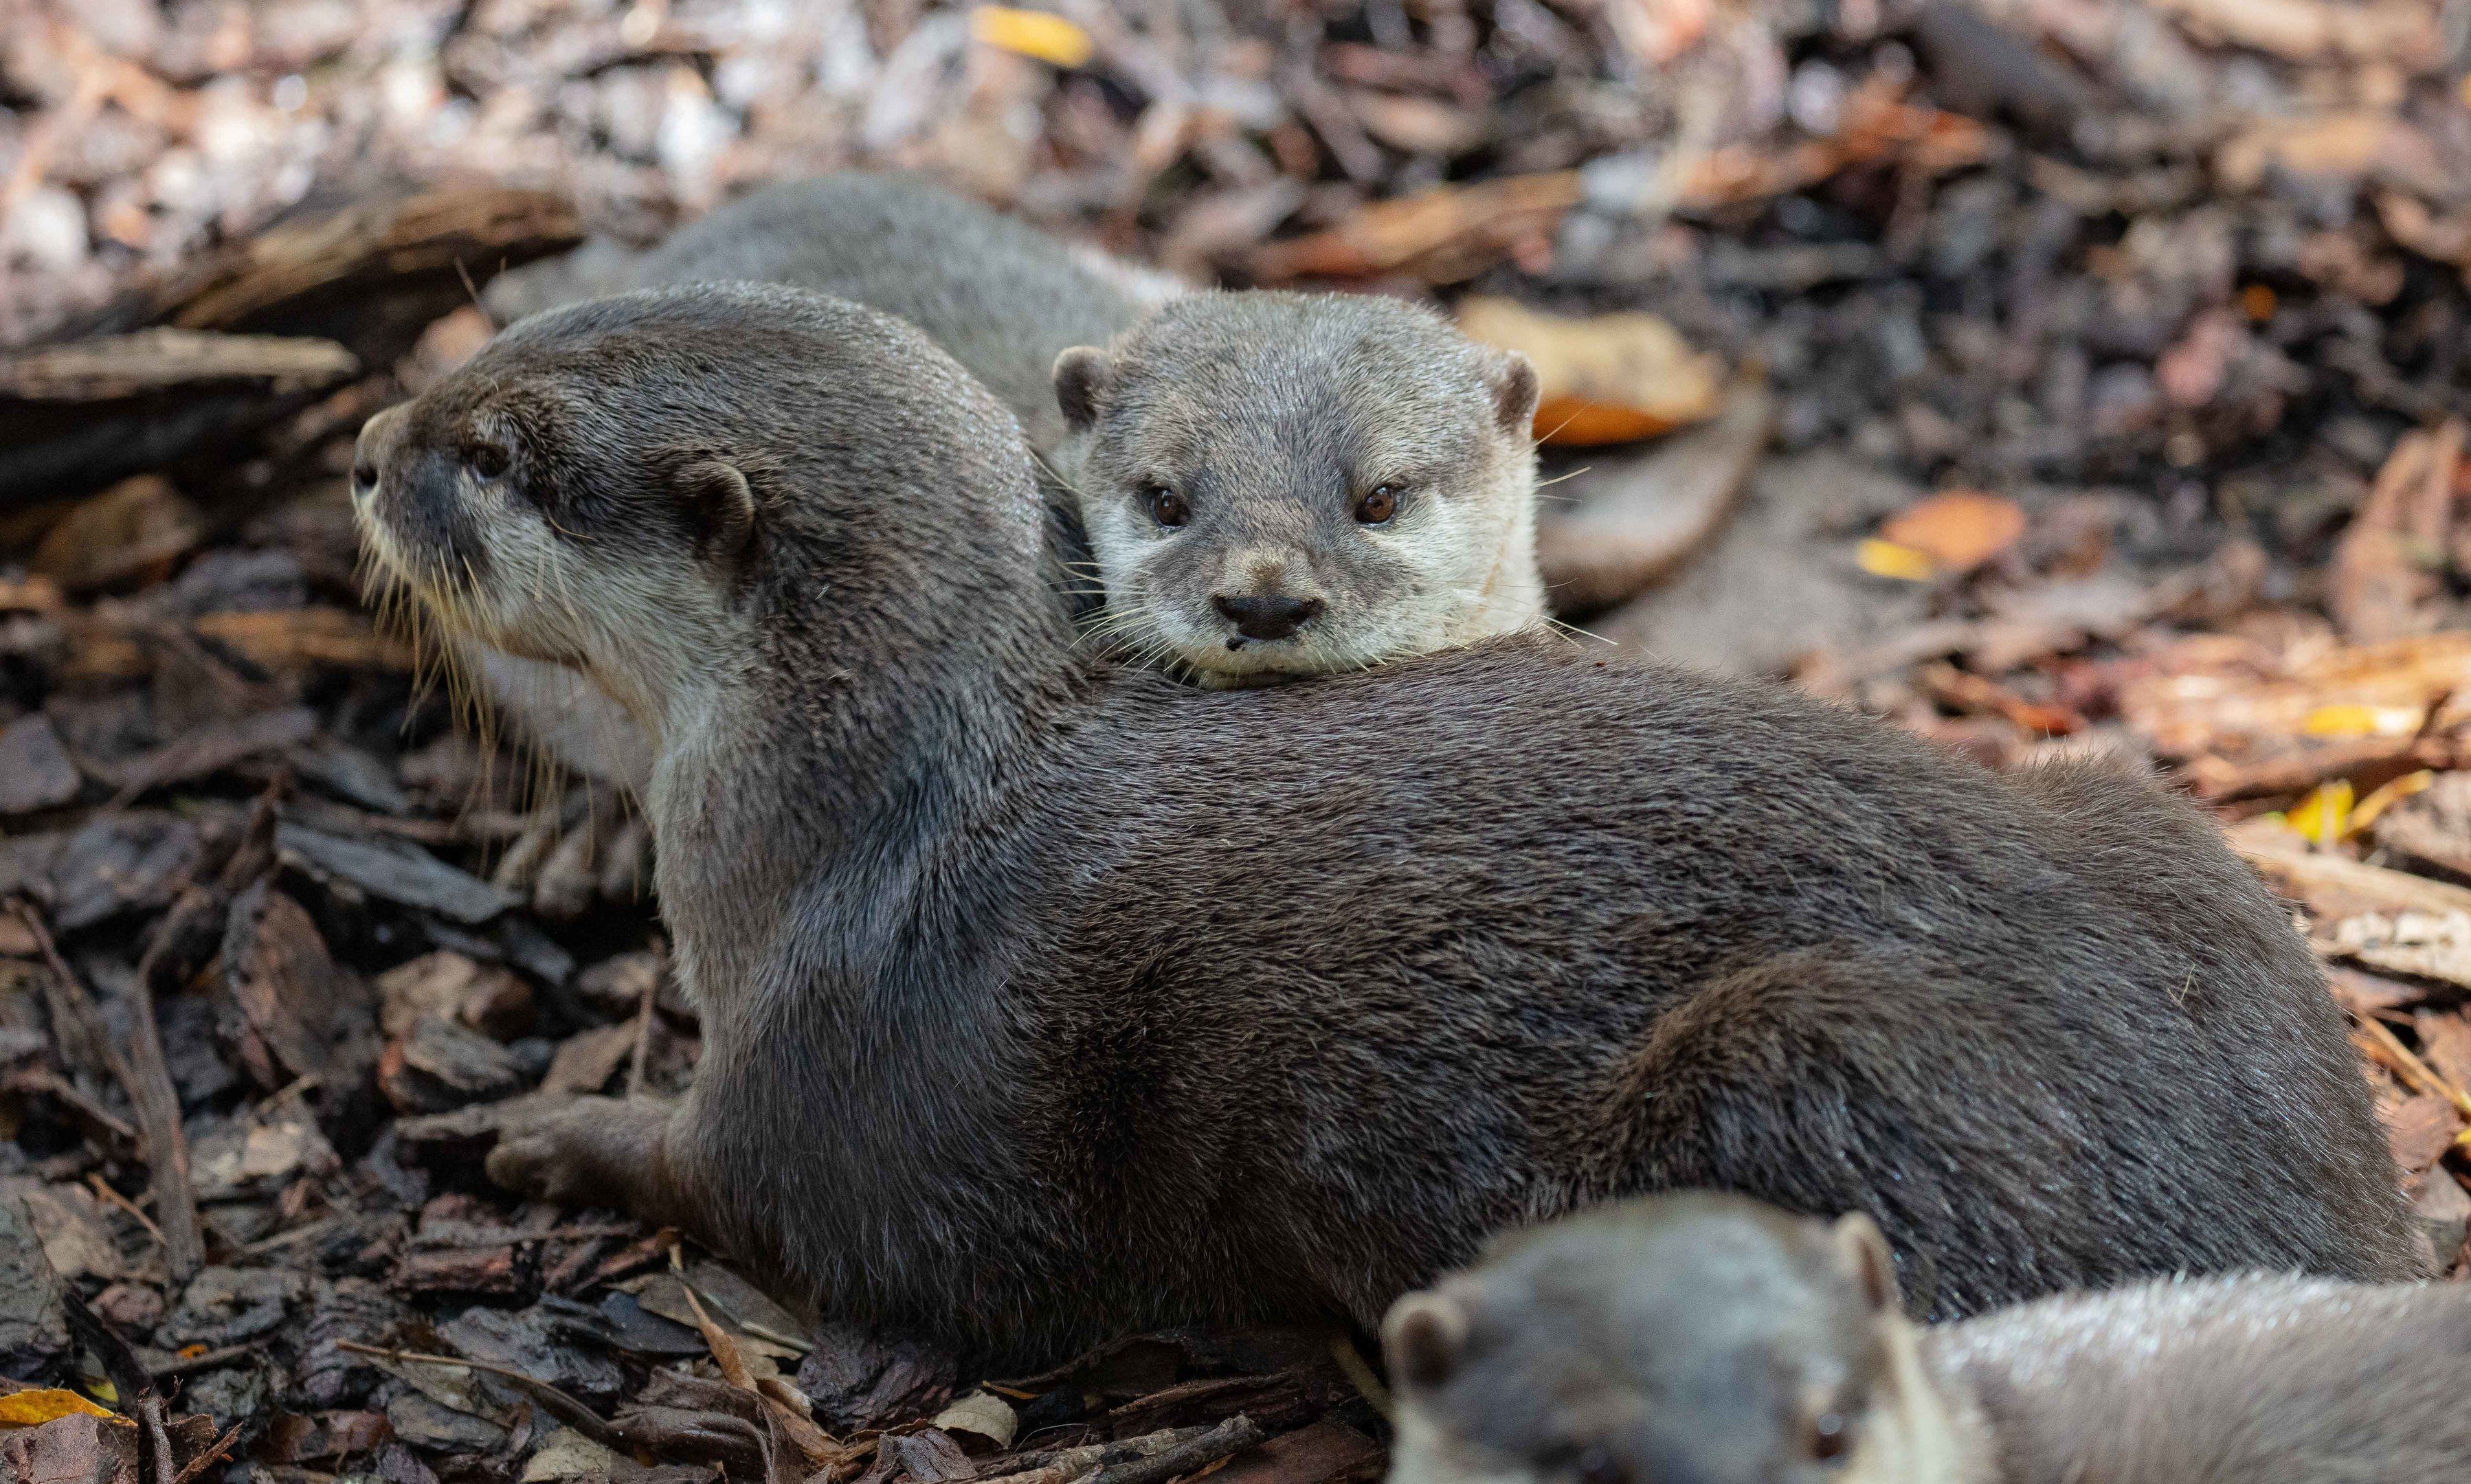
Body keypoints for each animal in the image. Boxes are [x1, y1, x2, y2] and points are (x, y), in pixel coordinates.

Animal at [348, 283, 2417, 1369]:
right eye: (489, 348)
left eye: (501, 453)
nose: (371, 449)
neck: (854, 818)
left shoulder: (858, 1073)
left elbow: (780, 1202)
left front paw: (537, 1135)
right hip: (2173, 842)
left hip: (1811, 1068)